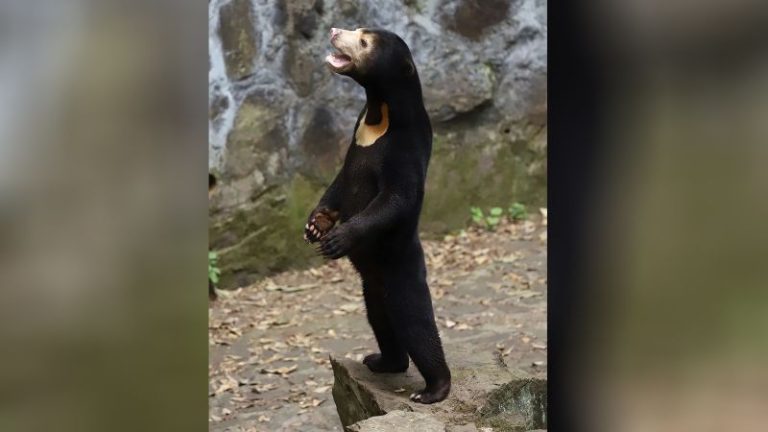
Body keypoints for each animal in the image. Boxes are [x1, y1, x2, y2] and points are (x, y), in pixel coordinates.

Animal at [304, 27, 451, 404]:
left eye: (363, 42)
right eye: (358, 30)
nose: (333, 30)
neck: (378, 112)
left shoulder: (404, 146)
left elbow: (396, 197)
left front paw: (337, 239)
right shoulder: (355, 140)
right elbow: (340, 182)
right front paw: (314, 226)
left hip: (399, 269)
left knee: (415, 323)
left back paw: (434, 389)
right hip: (372, 286)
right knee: (380, 319)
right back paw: (382, 361)